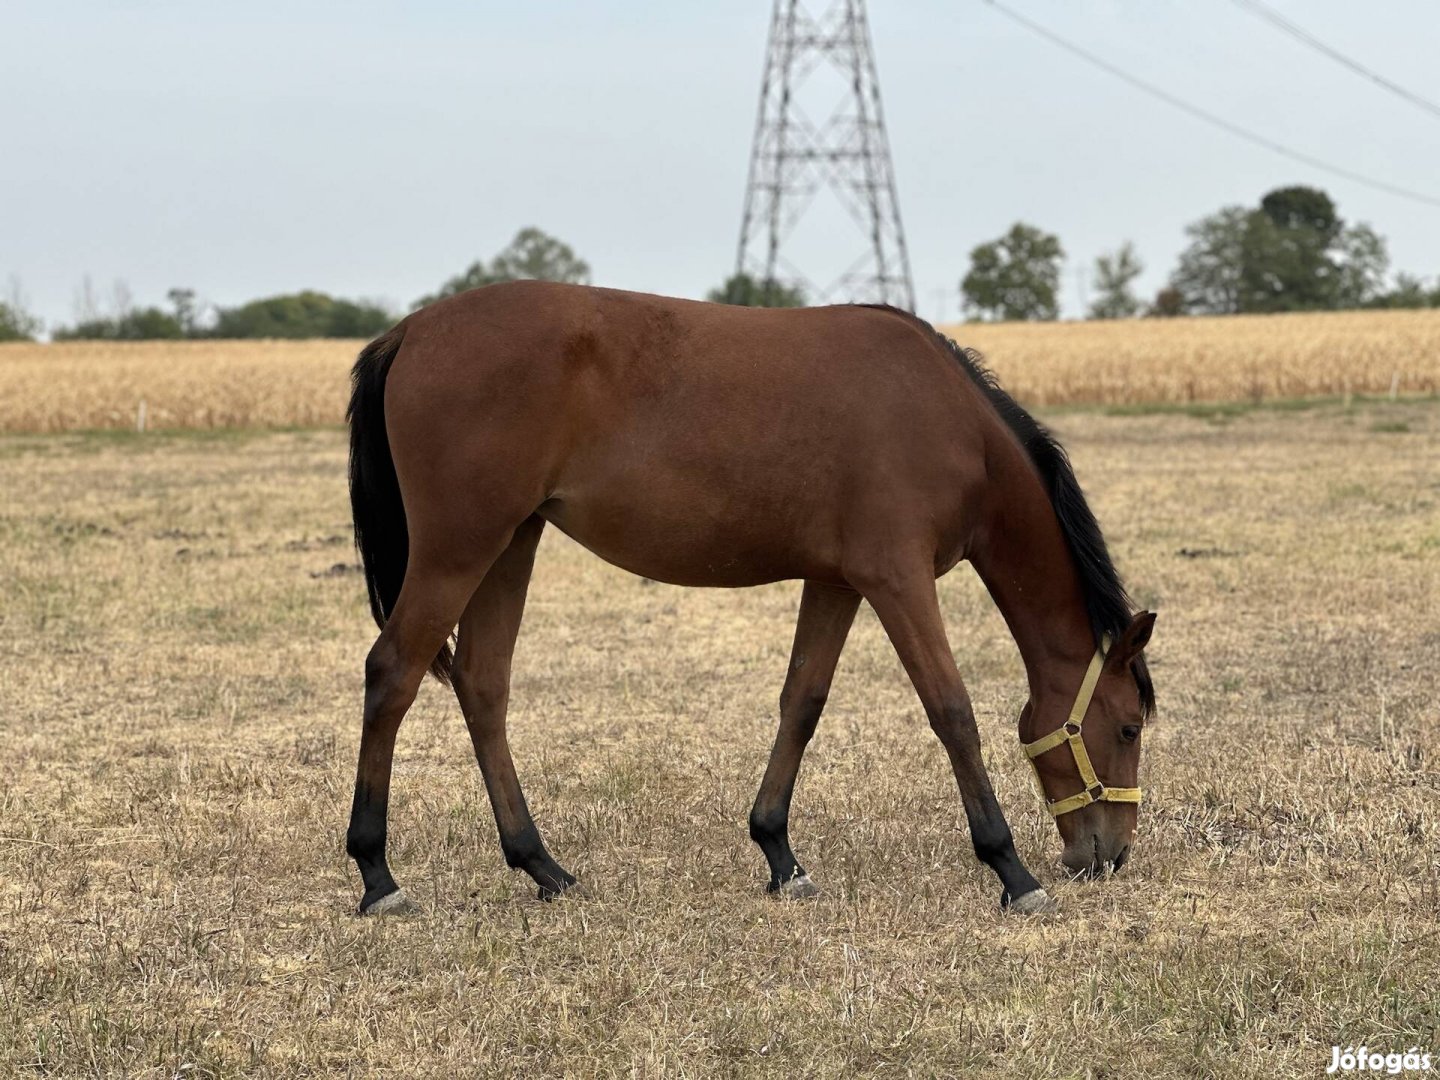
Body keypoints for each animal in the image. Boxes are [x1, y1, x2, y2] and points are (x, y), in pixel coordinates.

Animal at [342, 283, 1152, 915]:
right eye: (1128, 727)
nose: (1109, 856)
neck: (949, 420)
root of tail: (411, 330)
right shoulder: (898, 580)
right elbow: (951, 711)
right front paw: (1011, 870)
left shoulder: (837, 582)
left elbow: (803, 703)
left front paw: (780, 856)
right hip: (459, 549)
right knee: (392, 674)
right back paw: (379, 875)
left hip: (511, 543)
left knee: (483, 686)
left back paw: (541, 866)